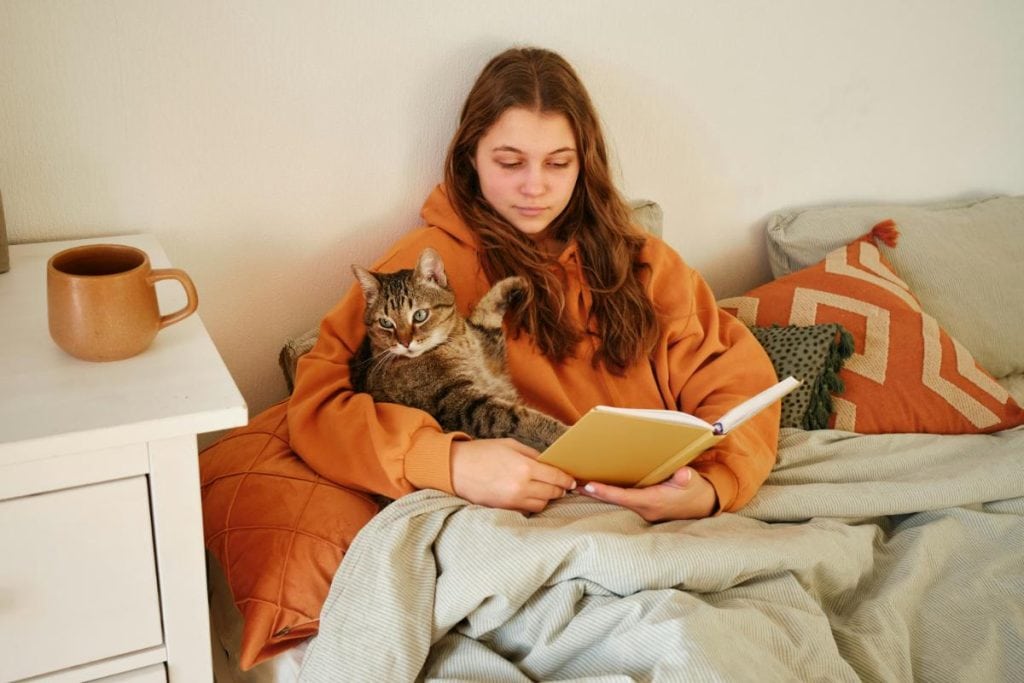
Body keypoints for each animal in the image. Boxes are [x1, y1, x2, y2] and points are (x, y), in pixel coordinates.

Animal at [348, 248, 565, 450]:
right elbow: (522, 418)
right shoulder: (466, 405)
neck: (457, 342)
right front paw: (564, 433)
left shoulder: (490, 352)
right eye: (385, 323)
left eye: (419, 315)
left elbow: (485, 310)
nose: (405, 342)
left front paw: (515, 282)